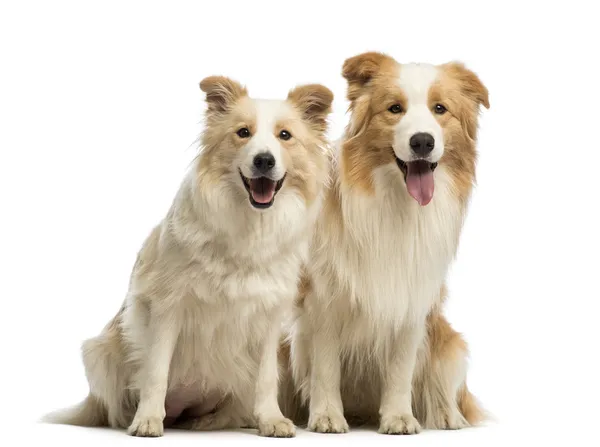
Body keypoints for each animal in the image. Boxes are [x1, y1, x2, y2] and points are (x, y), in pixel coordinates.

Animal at [284, 51, 488, 434]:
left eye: (440, 109)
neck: (396, 203)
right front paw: (327, 416)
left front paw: (399, 417)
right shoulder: (322, 299)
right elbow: (326, 366)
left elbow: (400, 370)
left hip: (449, 341)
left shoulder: (412, 300)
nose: (422, 141)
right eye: (395, 109)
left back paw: (447, 416)